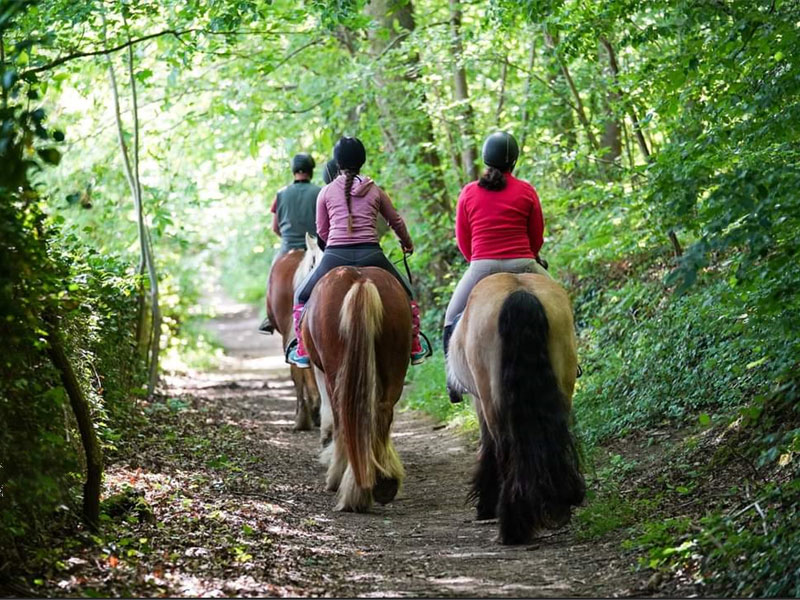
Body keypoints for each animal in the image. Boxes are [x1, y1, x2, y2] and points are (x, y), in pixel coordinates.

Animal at [302, 266, 410, 510]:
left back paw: (347, 485)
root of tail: (361, 281)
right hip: (395, 366)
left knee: (344, 417)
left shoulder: (320, 371)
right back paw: (385, 484)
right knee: (381, 414)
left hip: (335, 372)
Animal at [446, 274, 584, 548]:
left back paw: (512, 527)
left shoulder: (479, 402)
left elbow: (487, 447)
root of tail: (520, 292)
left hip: (491, 400)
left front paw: (485, 506)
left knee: (505, 449)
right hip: (563, 387)